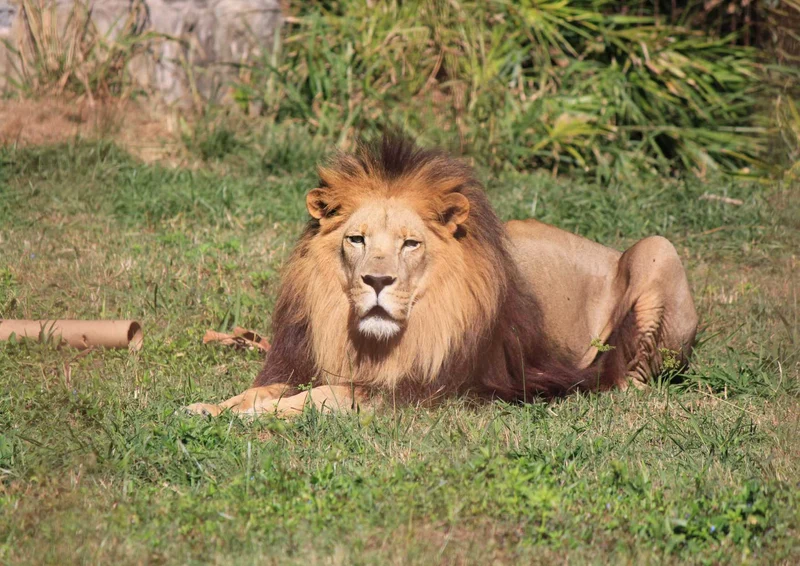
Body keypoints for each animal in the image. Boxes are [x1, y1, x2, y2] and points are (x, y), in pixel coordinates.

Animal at [186, 133, 698, 417]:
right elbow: (261, 388)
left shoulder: (429, 391)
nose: (377, 282)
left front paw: (261, 415)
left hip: (659, 250)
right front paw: (211, 407)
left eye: (411, 244)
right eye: (357, 240)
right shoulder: (304, 361)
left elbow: (327, 395)